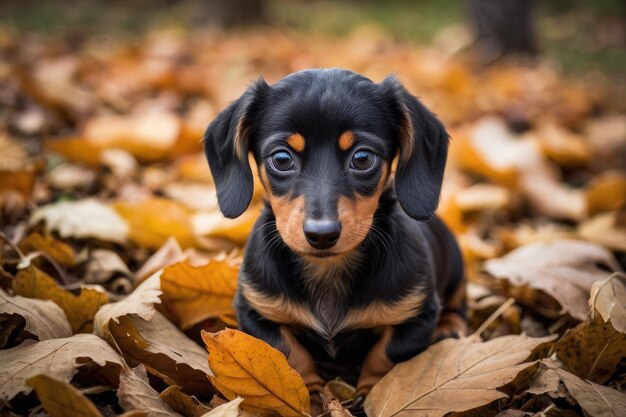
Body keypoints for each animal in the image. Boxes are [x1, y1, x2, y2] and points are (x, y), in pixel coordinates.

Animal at [204, 68, 464, 406]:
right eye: (282, 159)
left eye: (363, 158)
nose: (322, 235)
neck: (328, 270)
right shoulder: (255, 311)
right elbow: (289, 353)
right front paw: (311, 393)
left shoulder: (417, 314)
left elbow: (386, 354)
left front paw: (371, 393)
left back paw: (451, 327)